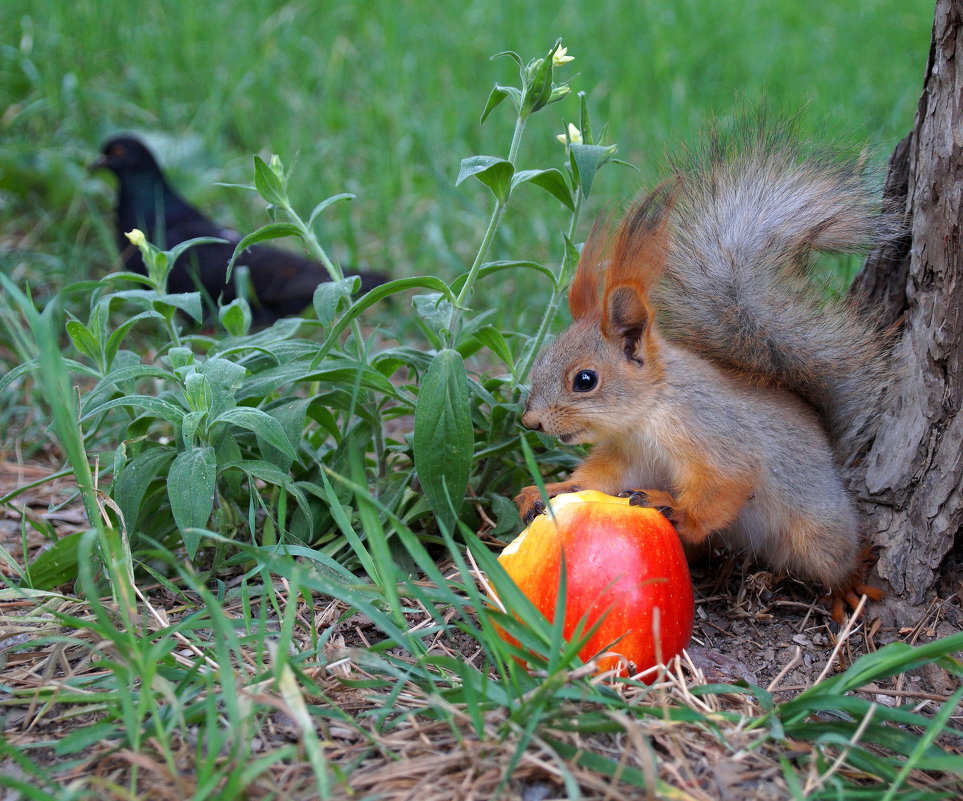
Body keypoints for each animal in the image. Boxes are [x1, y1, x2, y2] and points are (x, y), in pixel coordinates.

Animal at [516, 133, 892, 620]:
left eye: (585, 380)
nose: (530, 422)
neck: (647, 416)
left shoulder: (712, 431)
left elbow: (726, 483)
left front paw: (676, 510)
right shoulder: (625, 454)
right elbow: (598, 479)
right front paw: (550, 489)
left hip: (817, 529)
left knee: (832, 556)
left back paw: (848, 584)